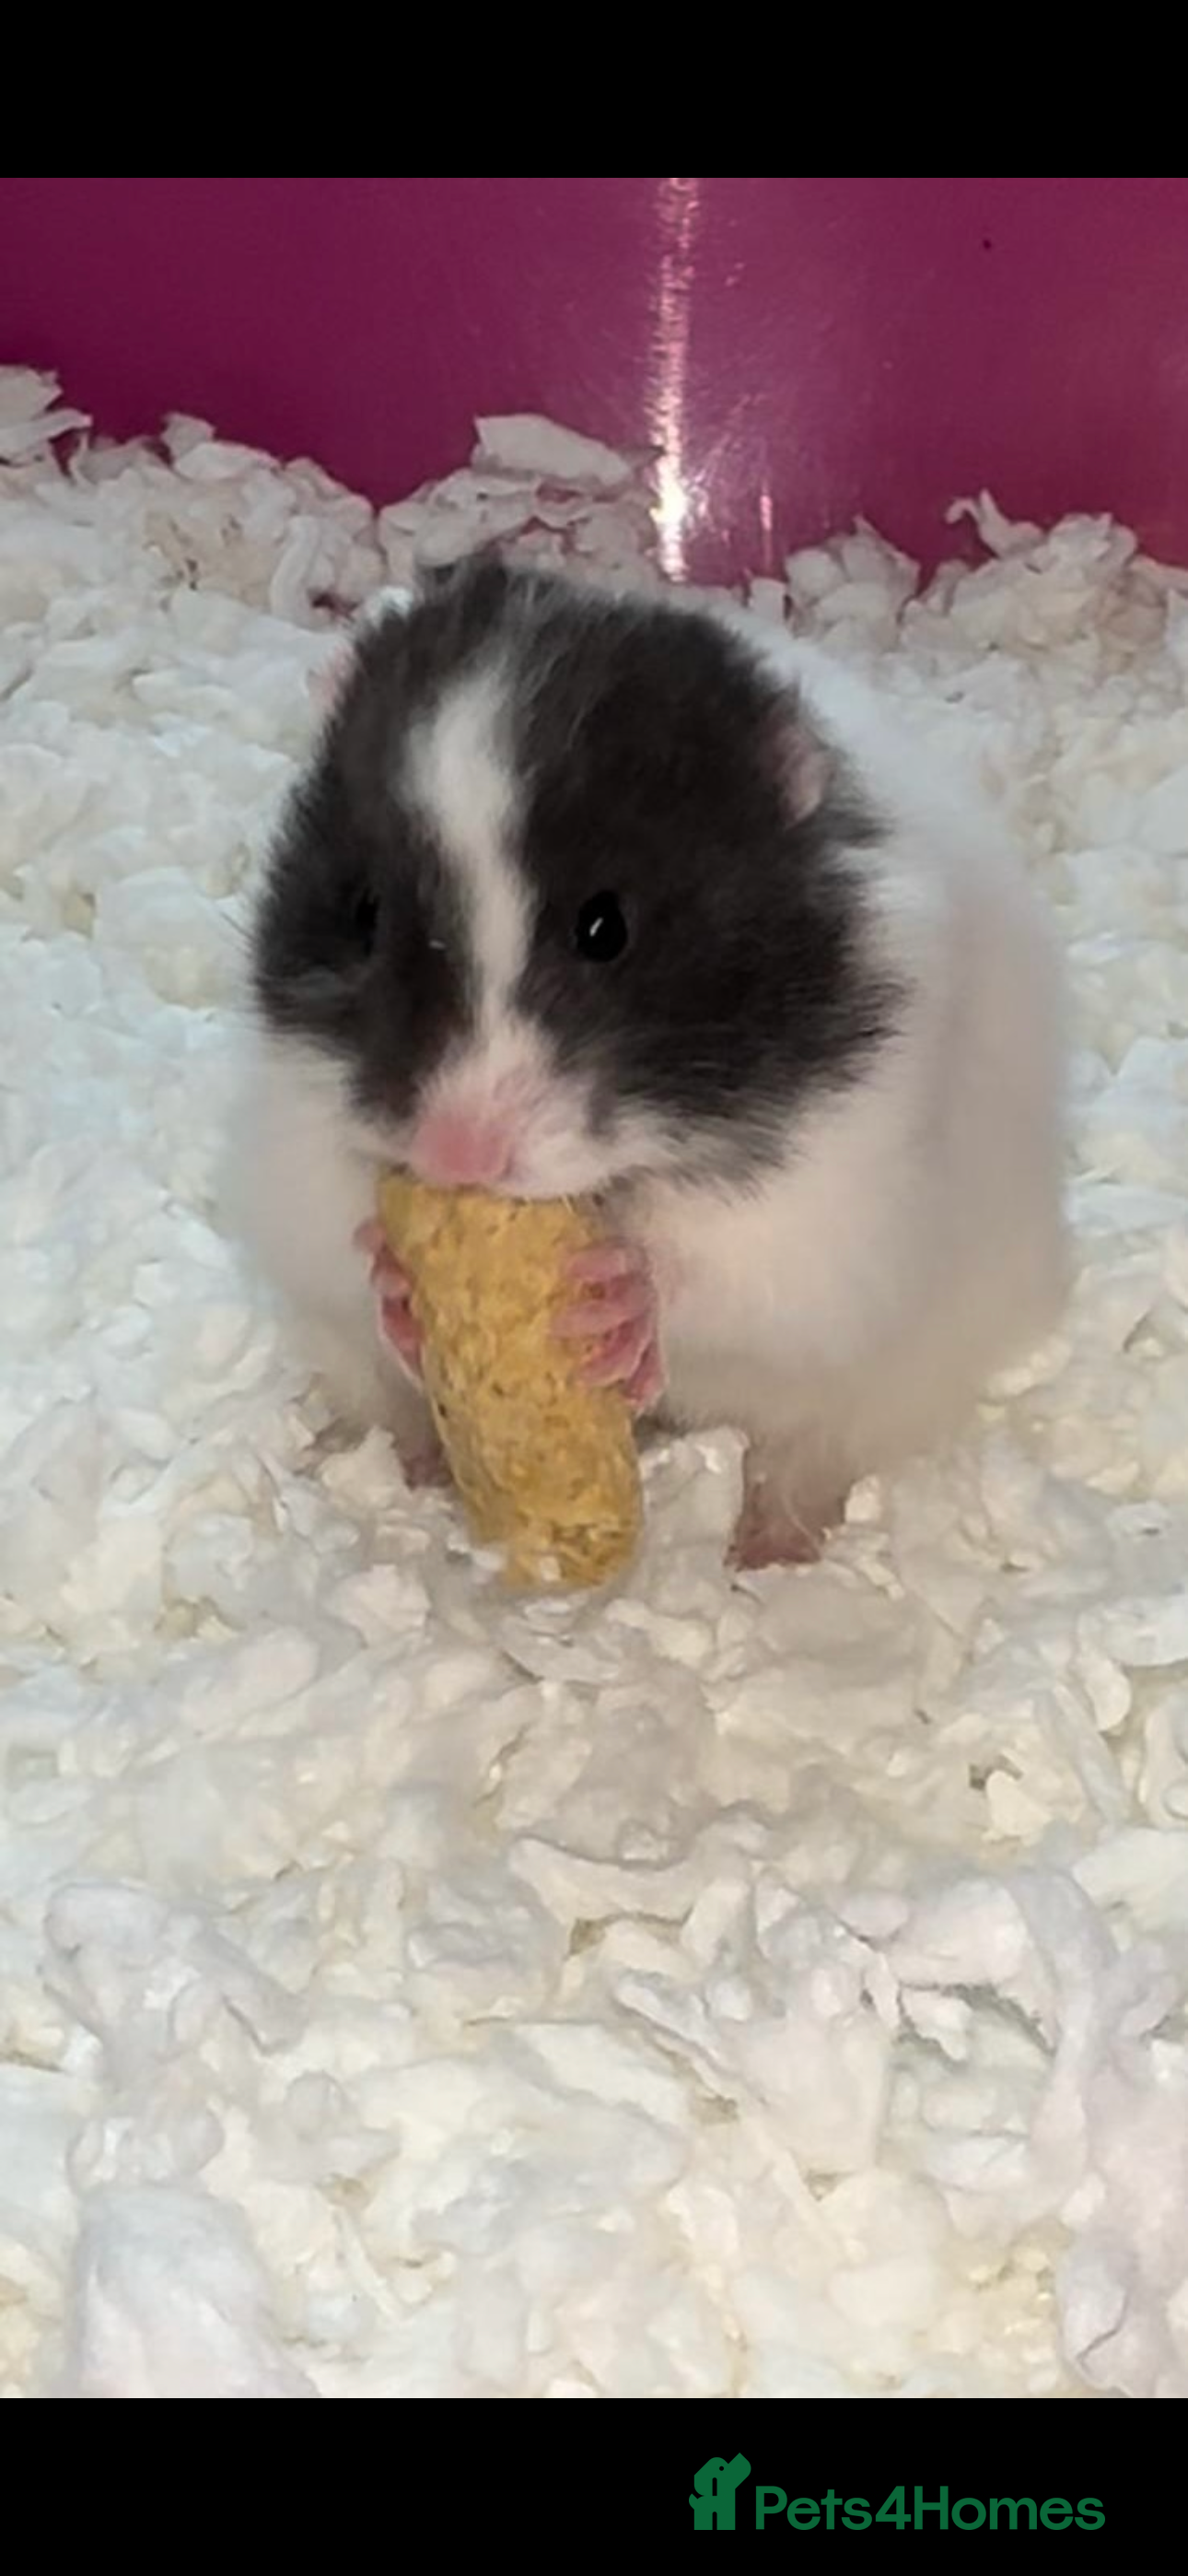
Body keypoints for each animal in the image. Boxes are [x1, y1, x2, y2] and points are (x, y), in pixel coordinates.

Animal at [223, 556, 1067, 1568]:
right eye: (364, 913)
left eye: (606, 928)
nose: (456, 1156)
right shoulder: (296, 1143)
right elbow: (338, 1245)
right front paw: (396, 1275)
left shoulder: (836, 1217)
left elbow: (723, 1278)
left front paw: (614, 1300)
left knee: (806, 1459)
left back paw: (766, 1554)